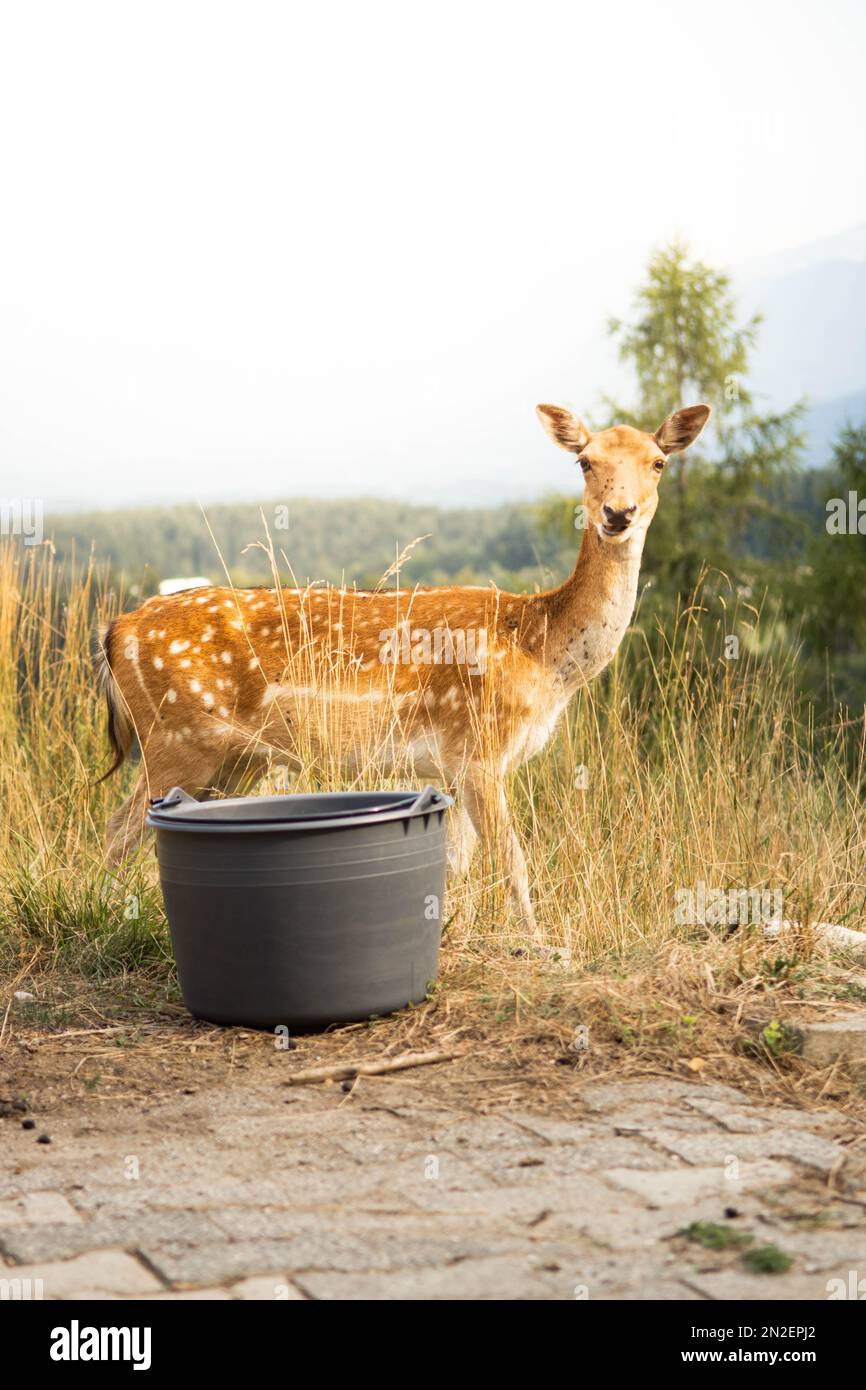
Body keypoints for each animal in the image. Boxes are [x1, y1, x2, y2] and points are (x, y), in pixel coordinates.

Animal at [97, 397, 711, 950]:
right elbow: (512, 860)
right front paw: (543, 947)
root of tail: (116, 632)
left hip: (235, 761)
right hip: (176, 740)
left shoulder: (452, 767)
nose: (618, 513)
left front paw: (455, 933)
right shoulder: (481, 747)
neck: (541, 653)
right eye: (584, 460)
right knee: (118, 830)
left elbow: (458, 865)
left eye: (658, 461)